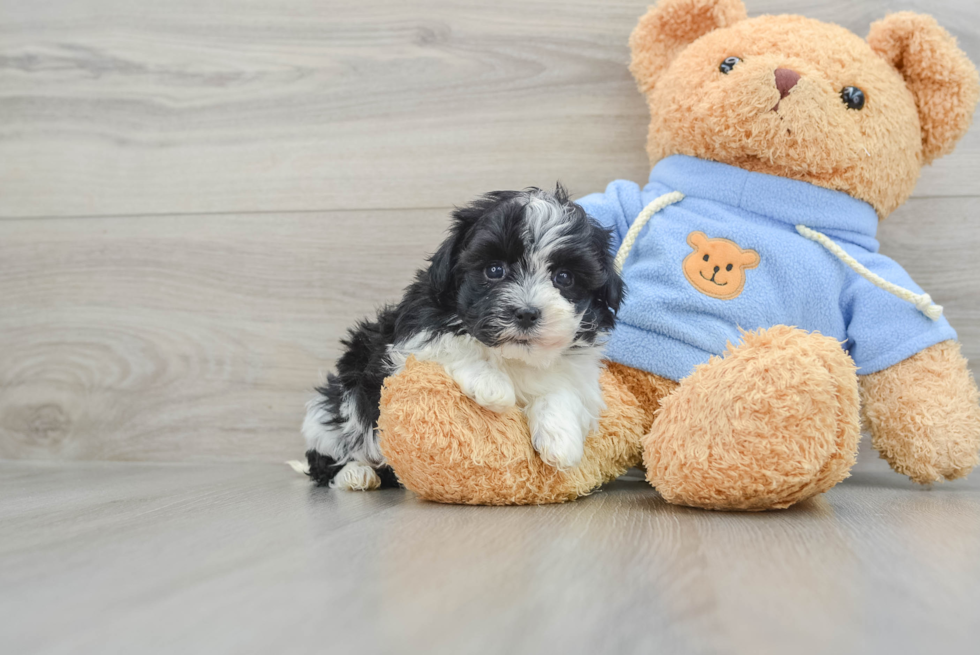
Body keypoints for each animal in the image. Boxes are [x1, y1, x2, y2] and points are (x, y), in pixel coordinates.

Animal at [300, 187, 620, 490]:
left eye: (564, 277)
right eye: (494, 270)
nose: (527, 313)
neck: (512, 357)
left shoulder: (578, 372)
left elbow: (563, 389)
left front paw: (562, 439)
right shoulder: (411, 339)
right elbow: (452, 345)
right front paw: (491, 384)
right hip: (334, 405)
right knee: (327, 452)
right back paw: (355, 474)